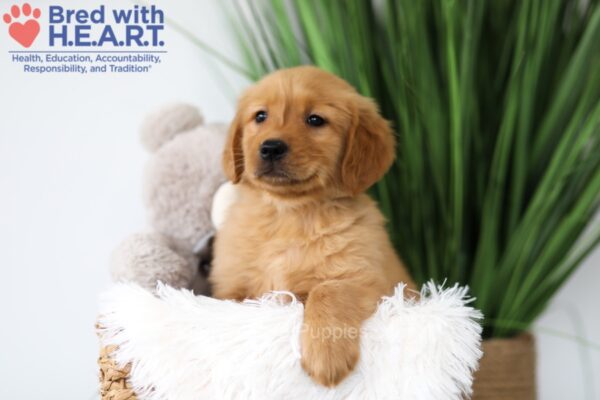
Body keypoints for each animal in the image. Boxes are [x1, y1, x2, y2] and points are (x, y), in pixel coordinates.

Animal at [212, 66, 418, 388]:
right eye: (260, 116)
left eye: (315, 120)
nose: (270, 148)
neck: (288, 216)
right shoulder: (231, 288)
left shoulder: (373, 282)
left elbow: (328, 290)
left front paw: (326, 354)